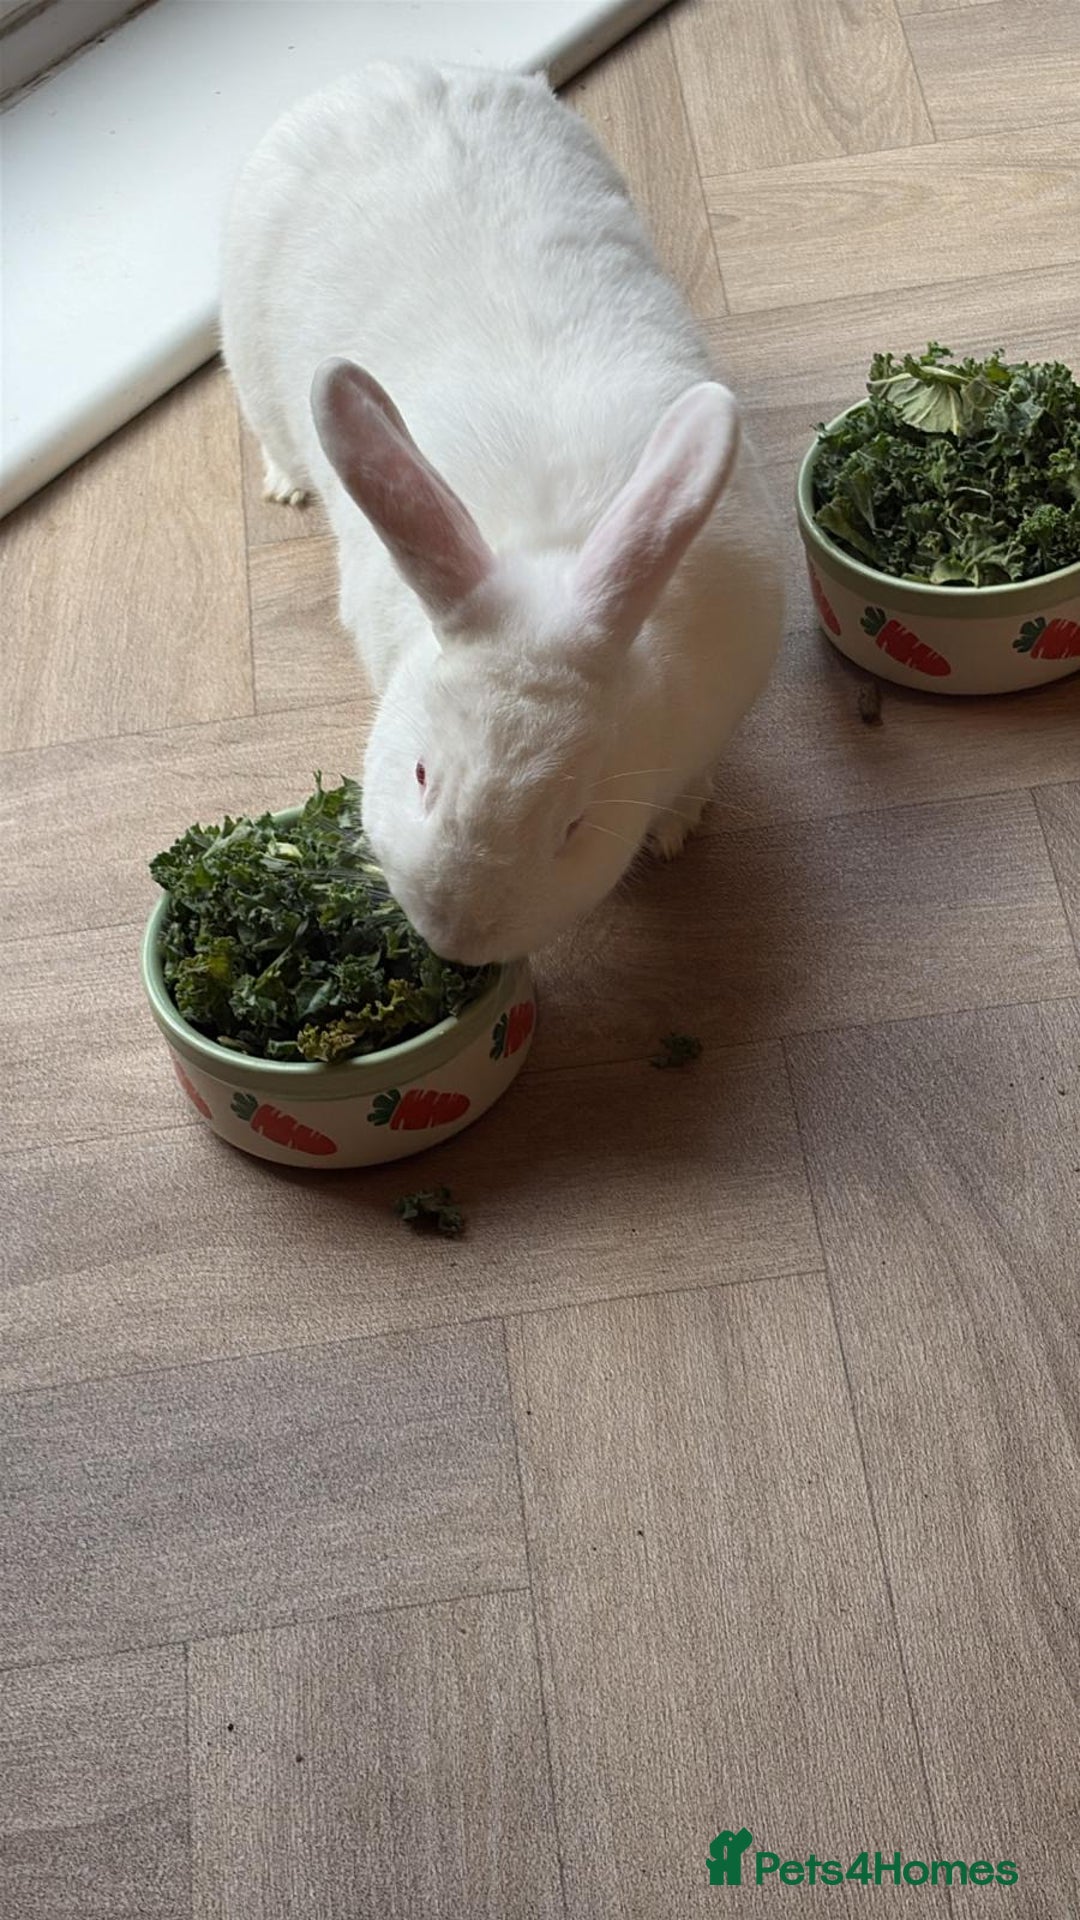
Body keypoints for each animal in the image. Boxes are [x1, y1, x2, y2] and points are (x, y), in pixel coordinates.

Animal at [221, 62, 783, 964]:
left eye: (575, 824)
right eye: (421, 774)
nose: (457, 939)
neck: (552, 548)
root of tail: (391, 74)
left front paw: (674, 831)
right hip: (248, 357)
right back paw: (285, 485)